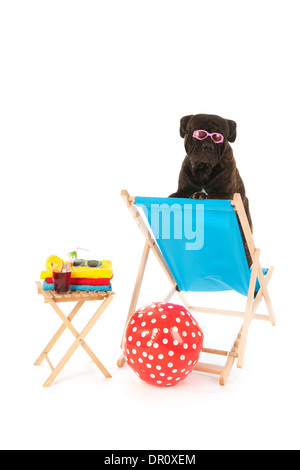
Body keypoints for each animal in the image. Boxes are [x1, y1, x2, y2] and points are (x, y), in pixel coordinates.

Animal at [170, 114, 252, 264]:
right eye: (199, 134)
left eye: (218, 137)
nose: (208, 146)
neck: (203, 171)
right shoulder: (182, 190)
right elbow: (175, 195)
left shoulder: (227, 195)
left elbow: (212, 195)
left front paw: (200, 195)